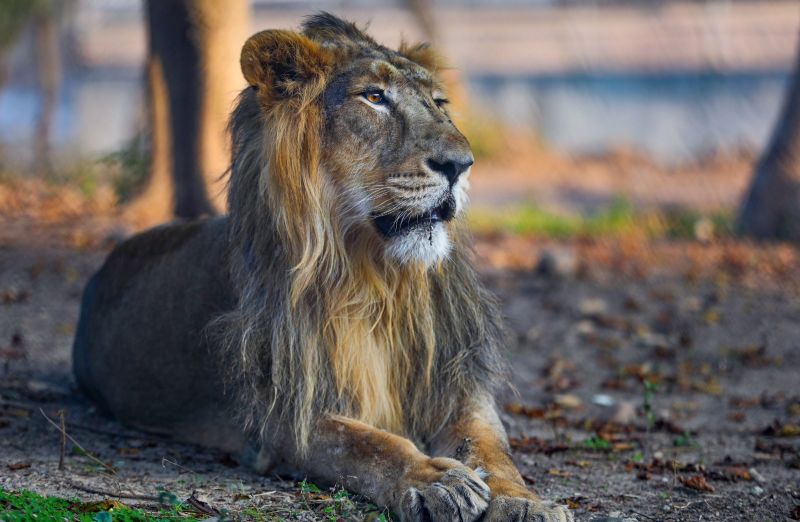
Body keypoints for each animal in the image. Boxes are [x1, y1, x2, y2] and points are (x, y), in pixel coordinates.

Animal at [73, 13, 572, 522]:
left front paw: (524, 501)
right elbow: (366, 443)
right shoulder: (281, 414)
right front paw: (436, 479)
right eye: (374, 97)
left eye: (439, 102)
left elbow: (490, 445)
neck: (374, 279)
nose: (461, 164)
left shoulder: (455, 381)